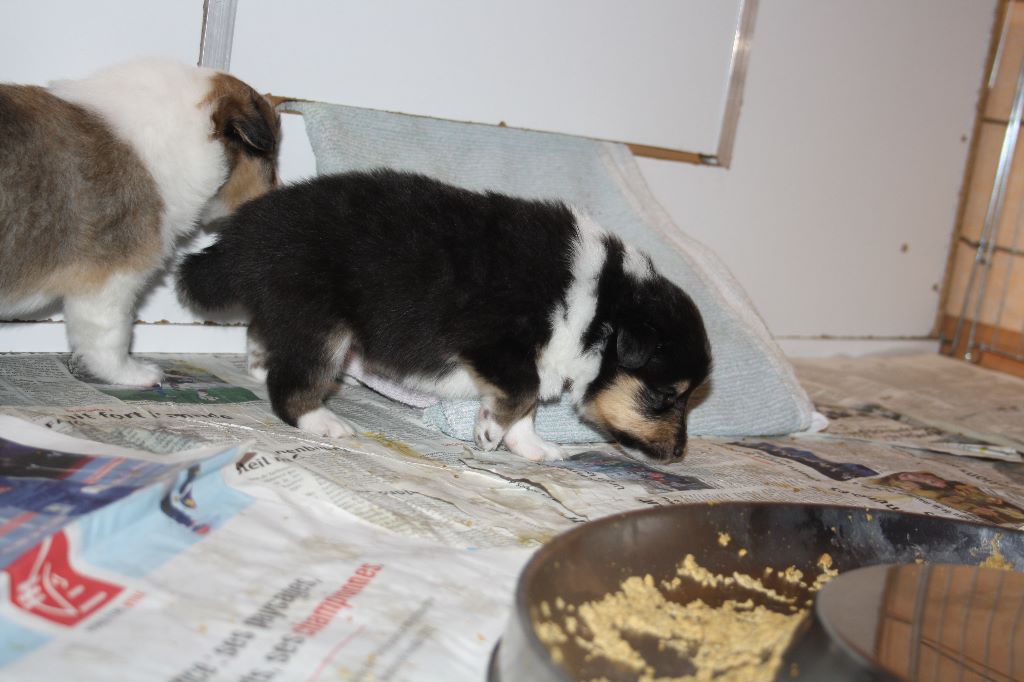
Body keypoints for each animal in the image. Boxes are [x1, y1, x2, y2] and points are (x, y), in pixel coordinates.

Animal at [178, 169, 711, 462]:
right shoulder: (493, 340)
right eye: (666, 396)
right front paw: (489, 432)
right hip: (321, 323)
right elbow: (523, 392)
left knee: (263, 334)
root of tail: (244, 236)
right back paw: (323, 423)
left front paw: (532, 447)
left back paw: (257, 361)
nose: (680, 456)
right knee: (291, 386)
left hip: (292, 310)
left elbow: (529, 408)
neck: (601, 310)